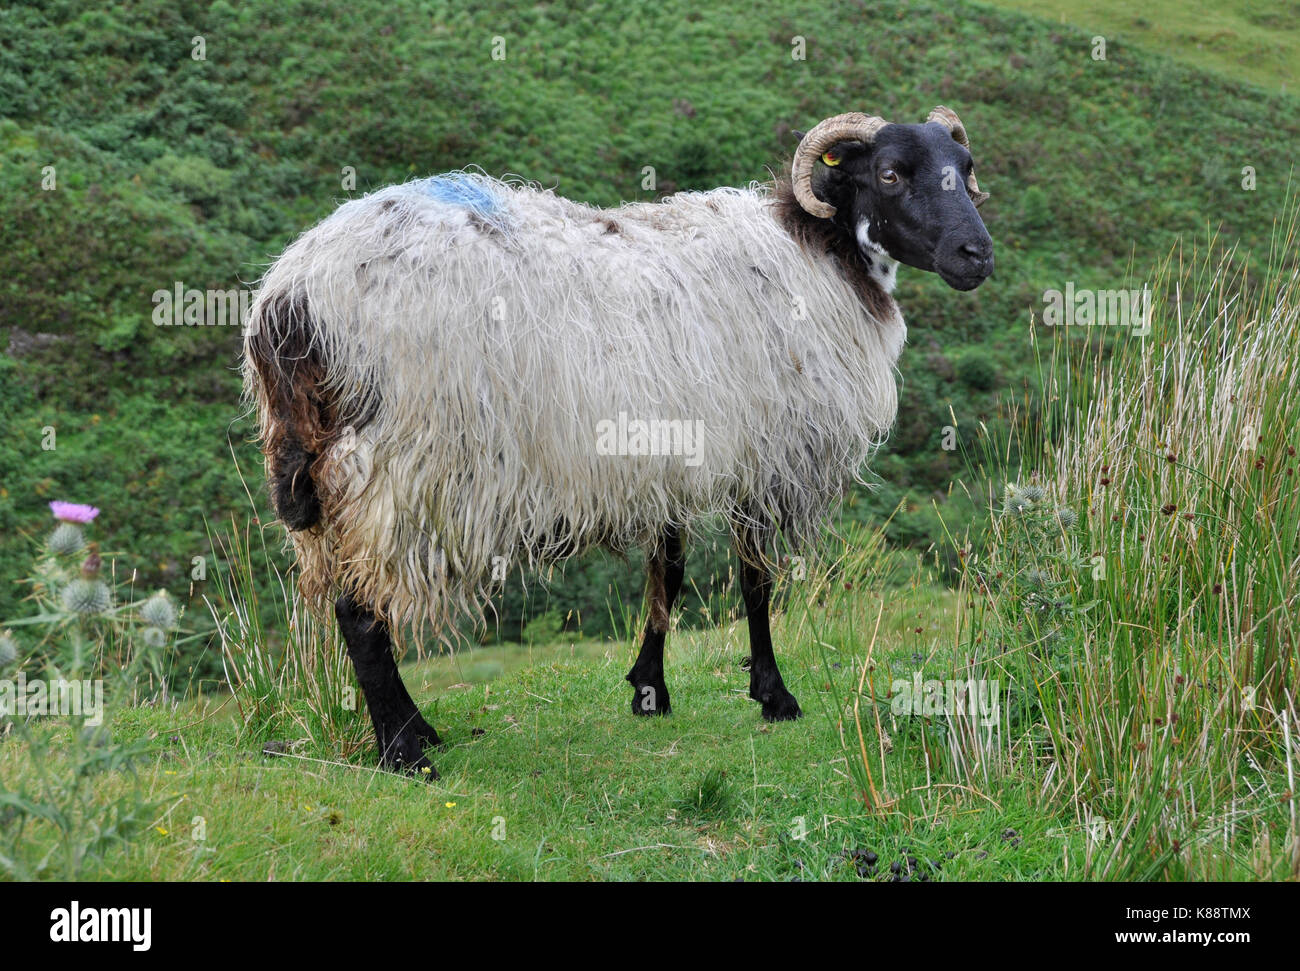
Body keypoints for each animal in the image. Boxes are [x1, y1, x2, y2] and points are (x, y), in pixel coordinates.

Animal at [243, 106, 994, 777]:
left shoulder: (670, 451)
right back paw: (405, 752)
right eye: (891, 173)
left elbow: (668, 571)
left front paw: (649, 687)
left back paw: (419, 732)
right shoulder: (766, 451)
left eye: (965, 168)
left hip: (320, 472)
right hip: (404, 463)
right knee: (361, 609)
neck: (819, 255)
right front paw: (774, 696)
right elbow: (754, 579)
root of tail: (288, 297)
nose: (977, 254)